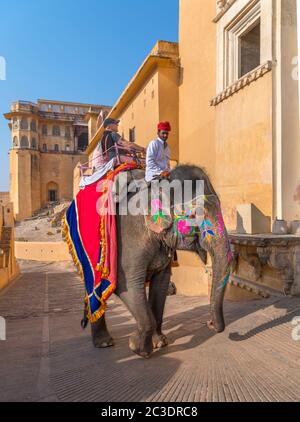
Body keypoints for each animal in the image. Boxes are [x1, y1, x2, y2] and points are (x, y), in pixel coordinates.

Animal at [85, 165, 233, 360]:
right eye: (194, 214)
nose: (209, 323)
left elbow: (161, 284)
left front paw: (160, 343)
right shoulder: (128, 238)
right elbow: (126, 285)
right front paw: (138, 348)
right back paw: (104, 343)